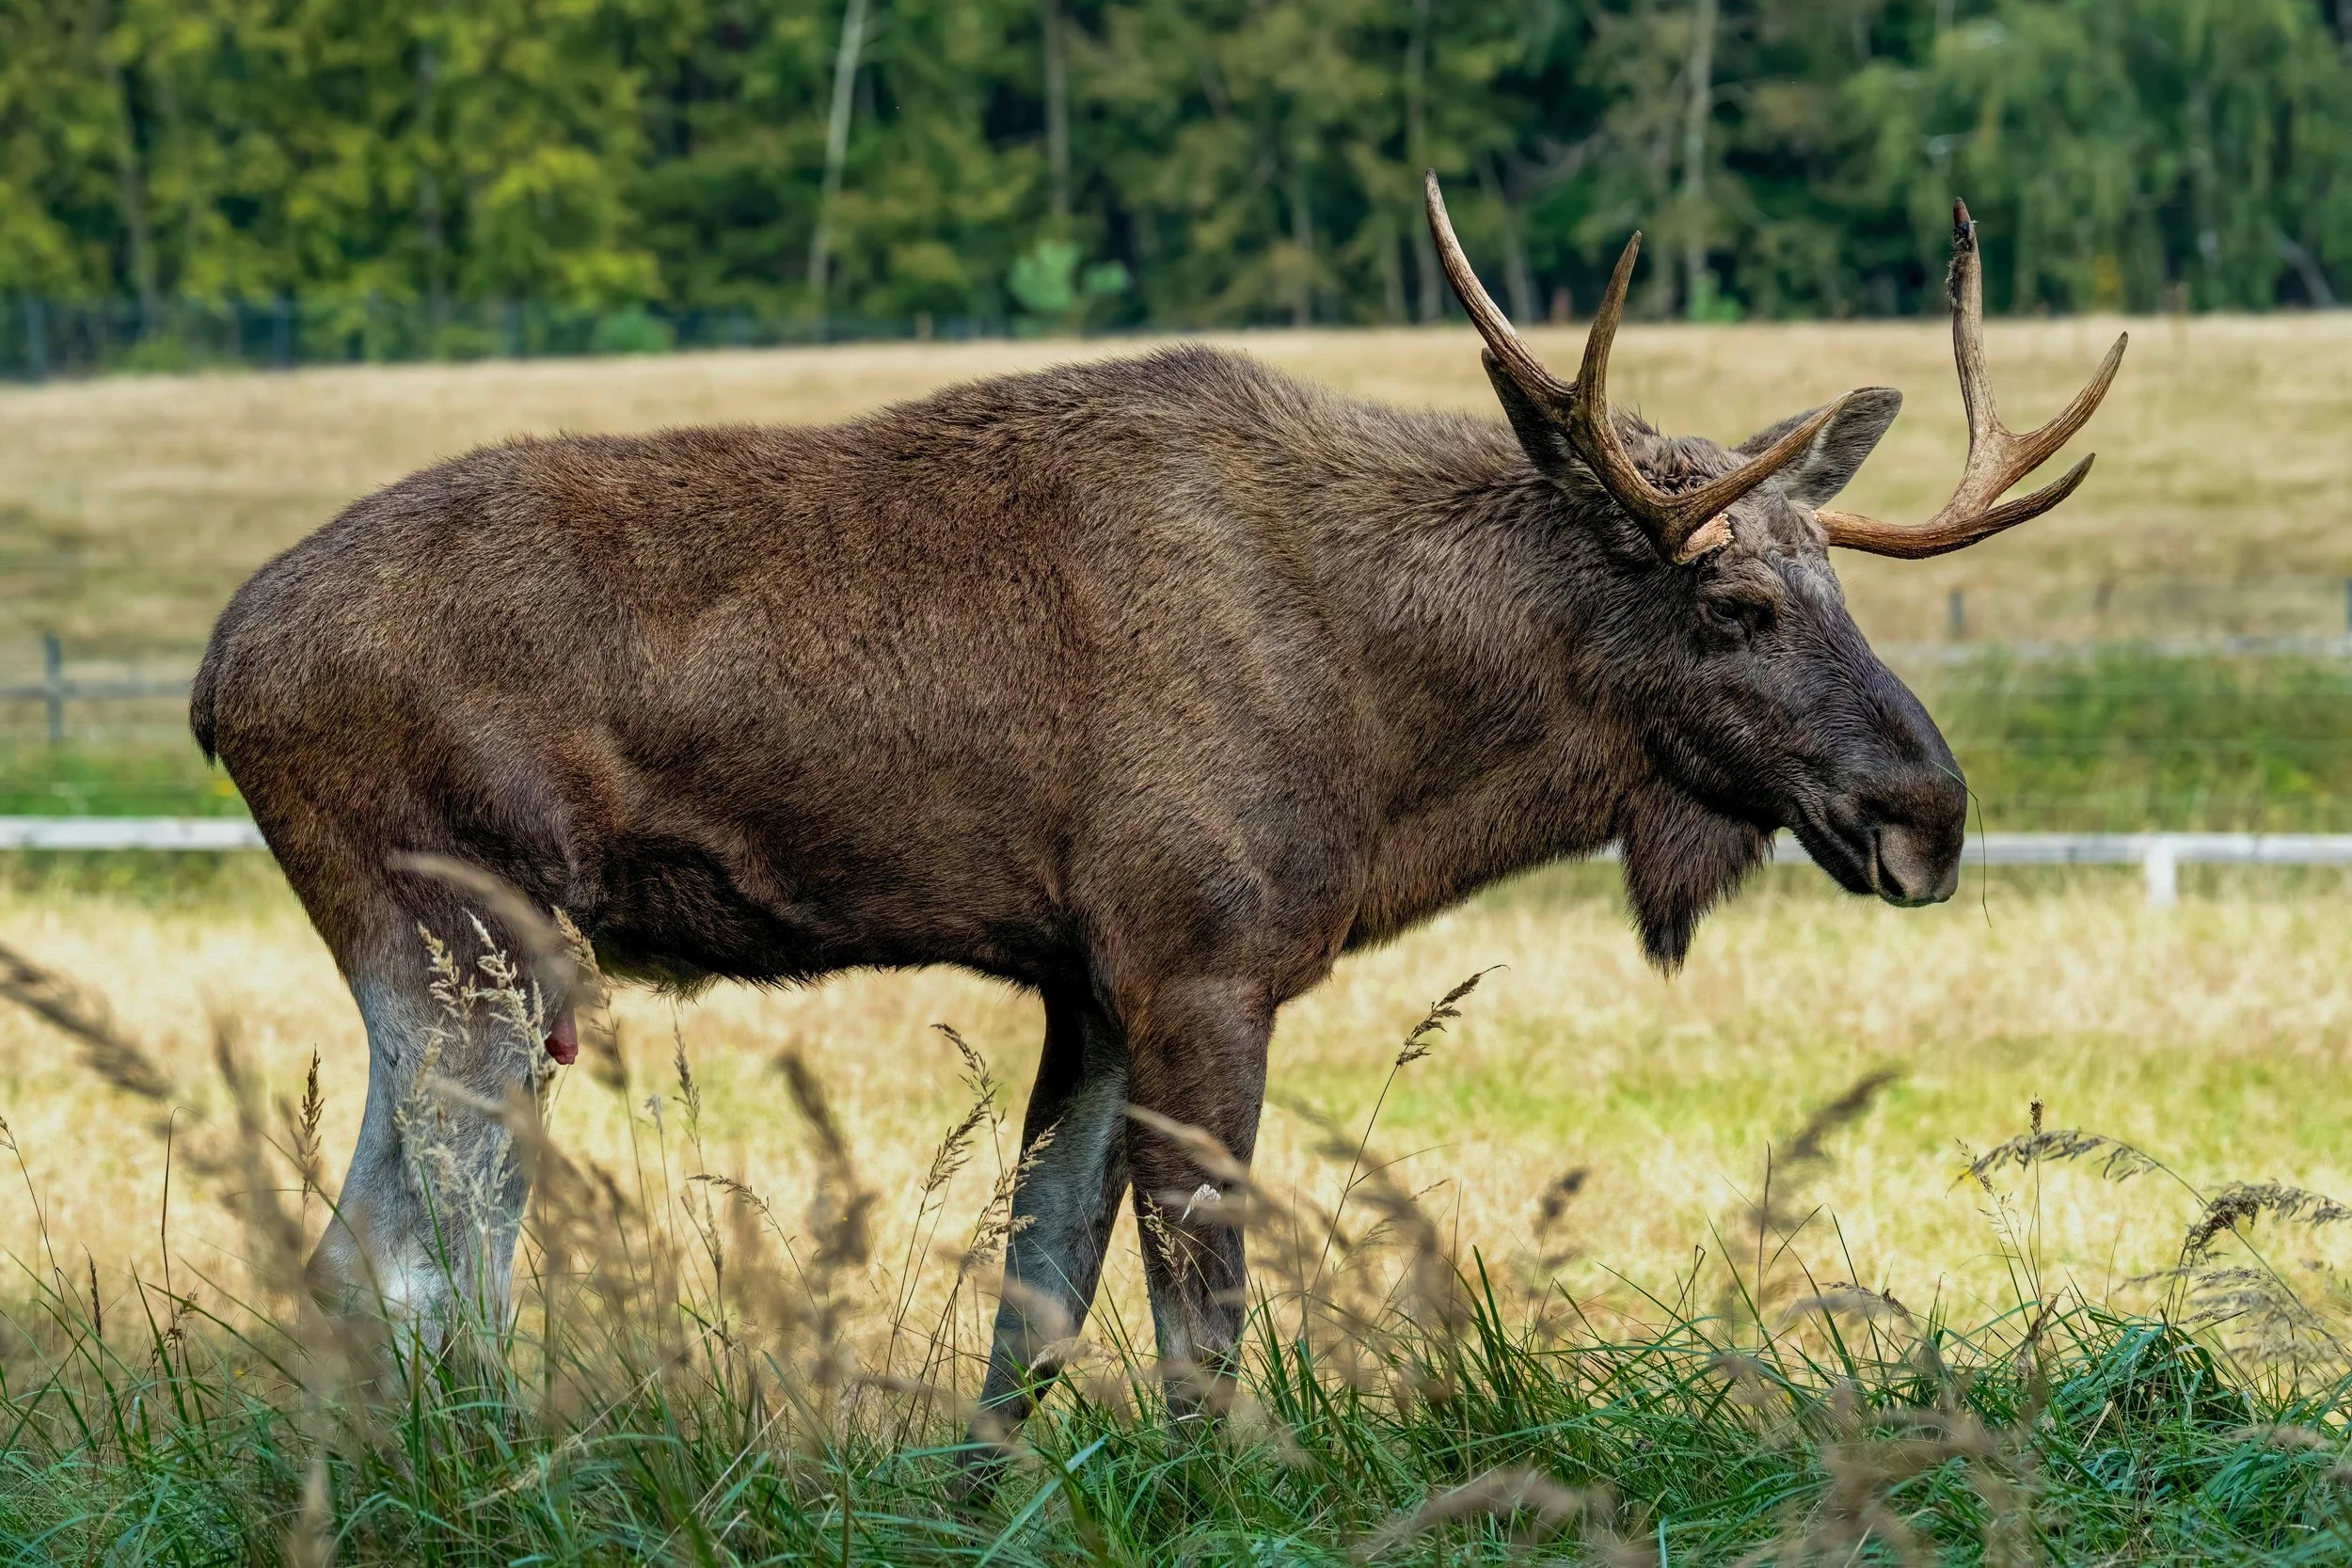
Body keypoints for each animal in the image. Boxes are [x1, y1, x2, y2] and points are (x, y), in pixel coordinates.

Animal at [190, 177, 2123, 1436]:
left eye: (1842, 586)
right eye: (1731, 605)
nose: (1929, 807)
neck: (1394, 751)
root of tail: (217, 683)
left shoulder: (1086, 974)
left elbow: (1032, 1306)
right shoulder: (1201, 953)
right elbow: (1202, 1320)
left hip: (447, 959)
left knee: (350, 1258)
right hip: (467, 926)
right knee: (447, 1267)